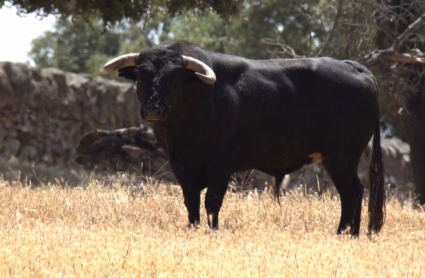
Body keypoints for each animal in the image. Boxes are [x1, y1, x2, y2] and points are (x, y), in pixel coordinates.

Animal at [103, 41, 384, 237]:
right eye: (141, 77)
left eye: (175, 80)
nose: (153, 109)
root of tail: (353, 66)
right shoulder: (181, 166)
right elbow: (191, 202)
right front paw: (193, 228)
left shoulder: (220, 165)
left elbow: (212, 201)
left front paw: (212, 230)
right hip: (334, 158)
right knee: (354, 192)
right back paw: (350, 234)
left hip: (342, 157)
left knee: (352, 192)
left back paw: (343, 233)